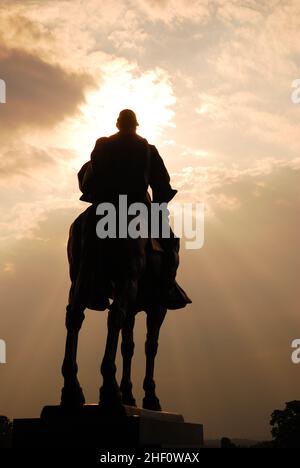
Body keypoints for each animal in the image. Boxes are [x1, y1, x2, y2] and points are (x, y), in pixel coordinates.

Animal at [60, 205, 190, 410]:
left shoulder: (133, 309)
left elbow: (128, 346)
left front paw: (128, 394)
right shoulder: (157, 307)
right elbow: (151, 346)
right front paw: (150, 396)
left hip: (79, 277)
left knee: (74, 317)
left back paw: (72, 389)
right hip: (127, 281)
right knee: (114, 317)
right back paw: (109, 389)